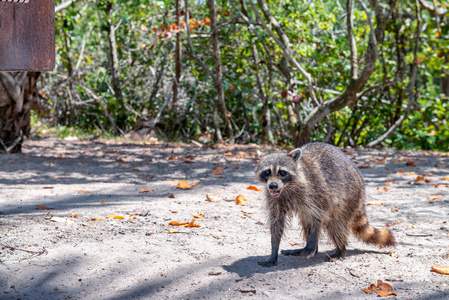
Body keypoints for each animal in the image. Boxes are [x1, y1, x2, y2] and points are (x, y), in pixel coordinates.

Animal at [254, 143, 394, 268]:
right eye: (267, 172)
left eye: (282, 172)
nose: (273, 186)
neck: (286, 188)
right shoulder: (274, 199)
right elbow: (276, 223)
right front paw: (274, 251)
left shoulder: (315, 191)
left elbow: (319, 216)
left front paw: (312, 244)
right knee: (306, 222)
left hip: (348, 199)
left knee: (337, 225)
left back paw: (340, 250)